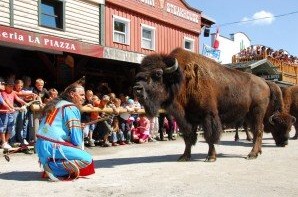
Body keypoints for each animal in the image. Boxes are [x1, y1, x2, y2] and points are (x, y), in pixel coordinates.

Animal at [134, 47, 292, 162]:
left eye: (158, 74)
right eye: (141, 73)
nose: (136, 88)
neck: (181, 79)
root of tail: (265, 82)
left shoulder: (208, 115)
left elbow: (210, 136)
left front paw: (210, 157)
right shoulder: (186, 119)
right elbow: (188, 138)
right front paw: (184, 156)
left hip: (256, 113)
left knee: (258, 131)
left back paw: (251, 155)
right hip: (249, 115)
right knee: (256, 132)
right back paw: (258, 152)